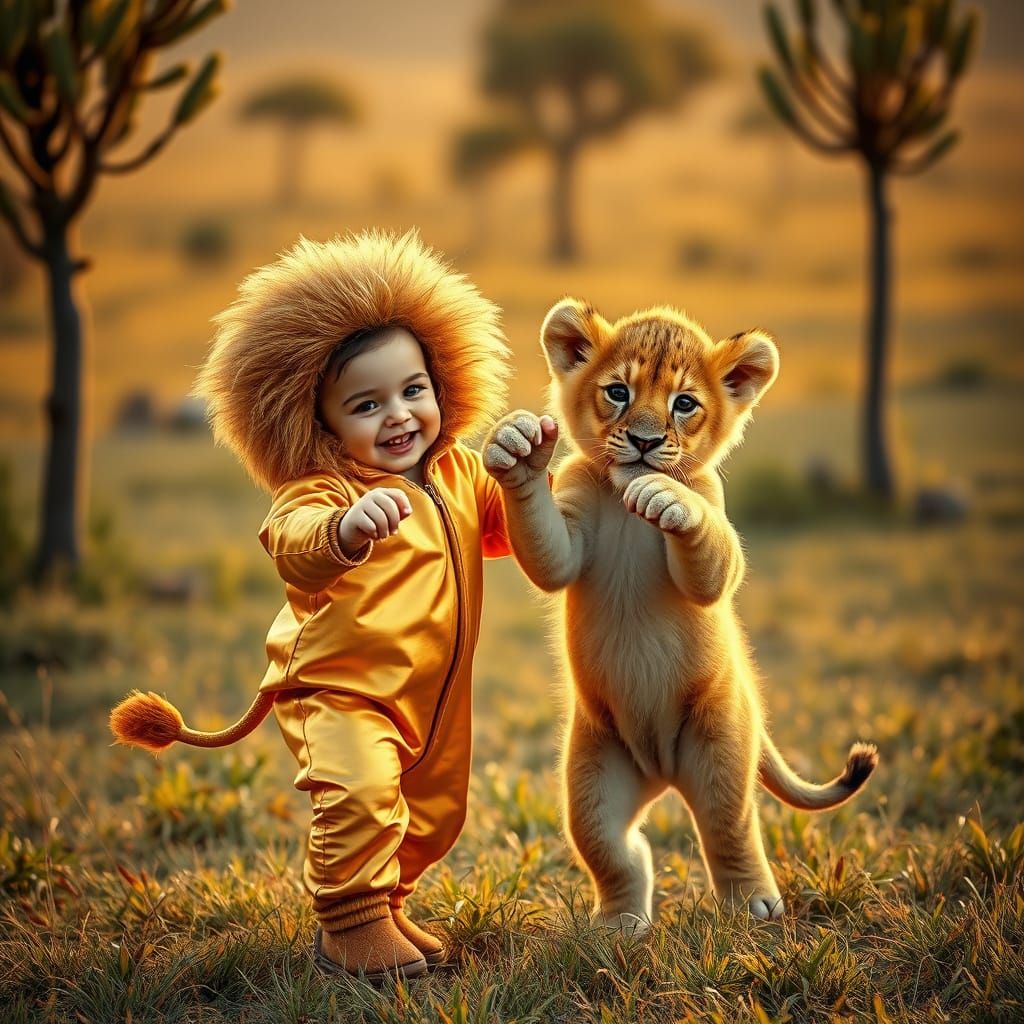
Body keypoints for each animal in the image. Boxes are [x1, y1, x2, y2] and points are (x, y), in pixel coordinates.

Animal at [482, 297, 877, 929]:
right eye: (618, 392)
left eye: (684, 403)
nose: (644, 442)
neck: (623, 500)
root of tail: (663, 773)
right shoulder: (570, 515)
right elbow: (552, 560)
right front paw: (518, 448)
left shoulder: (714, 509)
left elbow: (715, 562)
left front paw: (667, 498)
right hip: (594, 770)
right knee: (616, 848)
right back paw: (620, 924)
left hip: (719, 748)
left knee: (729, 828)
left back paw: (755, 905)